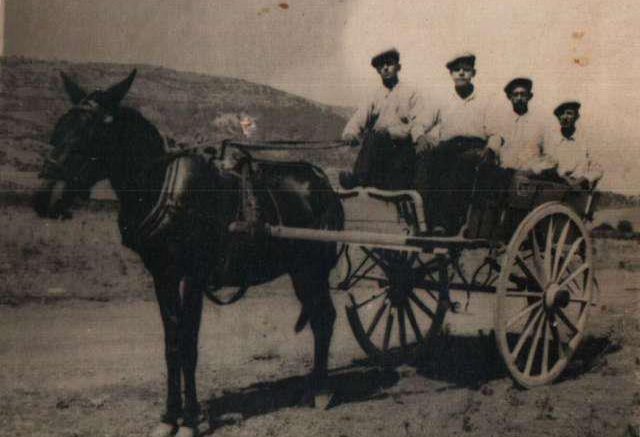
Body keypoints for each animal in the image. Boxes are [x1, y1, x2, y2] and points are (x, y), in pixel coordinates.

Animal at [33, 70, 344, 437]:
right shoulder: (162, 275)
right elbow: (172, 343)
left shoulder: (192, 277)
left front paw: (192, 418)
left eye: (93, 133)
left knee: (325, 318)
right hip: (299, 271)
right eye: (59, 129)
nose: (44, 198)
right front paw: (170, 416)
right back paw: (313, 387)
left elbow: (189, 343)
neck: (163, 188)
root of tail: (323, 180)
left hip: (313, 268)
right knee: (319, 317)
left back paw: (321, 390)